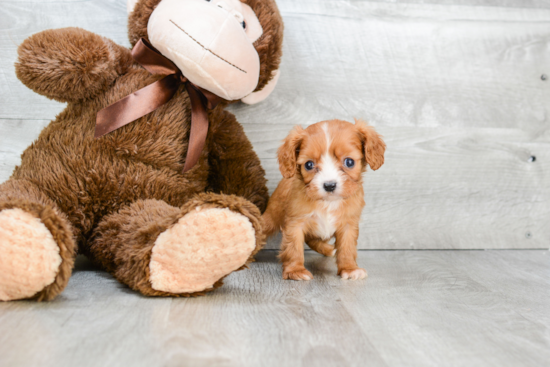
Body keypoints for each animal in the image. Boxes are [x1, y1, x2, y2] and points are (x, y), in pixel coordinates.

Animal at [264, 119, 388, 280]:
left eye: (349, 162)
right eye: (309, 164)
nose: (329, 185)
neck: (328, 202)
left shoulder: (348, 224)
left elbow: (347, 247)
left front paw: (349, 268)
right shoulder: (295, 223)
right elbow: (294, 247)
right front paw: (295, 270)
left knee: (312, 240)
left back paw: (328, 249)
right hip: (271, 217)